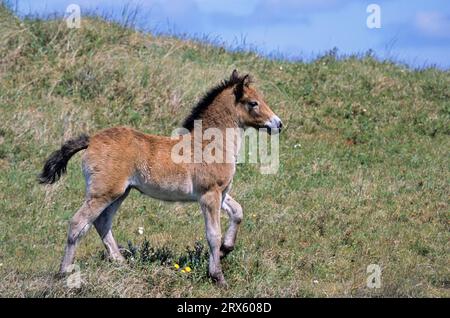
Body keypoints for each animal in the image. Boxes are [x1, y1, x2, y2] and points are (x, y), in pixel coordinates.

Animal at [40, 69, 284, 286]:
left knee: (102, 223)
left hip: (120, 193)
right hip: (103, 192)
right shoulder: (209, 195)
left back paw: (122, 264)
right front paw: (218, 277)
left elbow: (238, 212)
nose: (278, 124)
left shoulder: (221, 193)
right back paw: (65, 272)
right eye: (253, 103)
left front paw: (226, 249)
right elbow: (213, 234)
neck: (210, 144)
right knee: (78, 223)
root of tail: (92, 140)